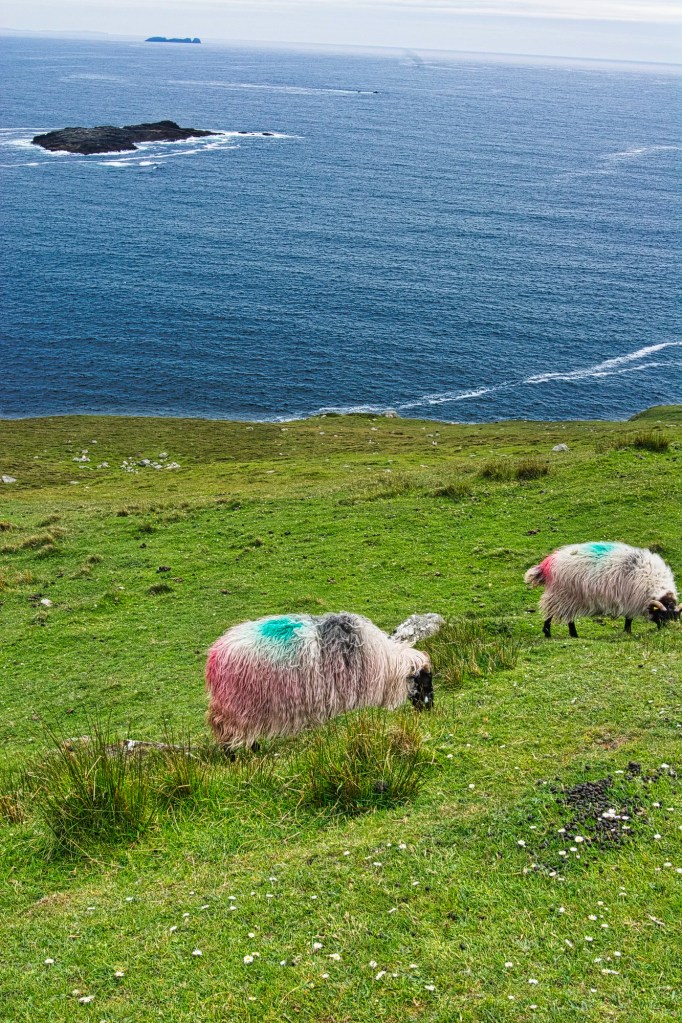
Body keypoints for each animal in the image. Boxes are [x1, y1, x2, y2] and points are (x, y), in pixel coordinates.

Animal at [205, 611, 440, 749]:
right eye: (425, 680)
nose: (430, 708)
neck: (389, 664)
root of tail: (216, 654)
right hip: (240, 707)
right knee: (233, 732)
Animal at [524, 542, 680, 638]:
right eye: (662, 616)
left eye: (677, 617)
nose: (672, 631)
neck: (654, 583)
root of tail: (548, 563)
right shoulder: (631, 600)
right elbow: (629, 619)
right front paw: (627, 632)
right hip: (563, 595)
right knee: (553, 614)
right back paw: (551, 633)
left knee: (566, 617)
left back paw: (571, 634)